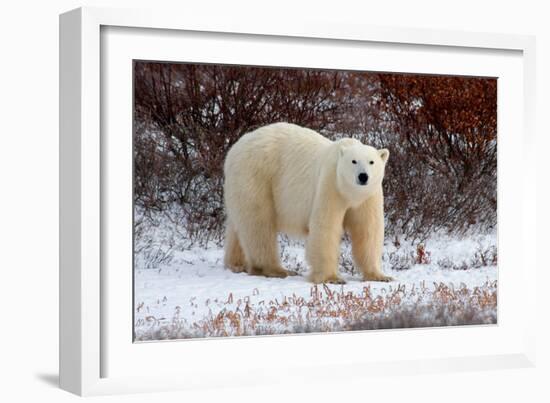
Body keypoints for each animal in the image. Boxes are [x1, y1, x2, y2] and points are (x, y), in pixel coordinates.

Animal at [224, 123, 392, 284]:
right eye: (354, 161)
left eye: (372, 162)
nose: (363, 176)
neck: (350, 193)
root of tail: (233, 150)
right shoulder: (330, 185)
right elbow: (325, 227)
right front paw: (332, 278)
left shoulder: (368, 196)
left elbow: (368, 230)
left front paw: (380, 276)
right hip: (256, 175)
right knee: (259, 224)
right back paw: (277, 270)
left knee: (239, 225)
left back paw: (236, 264)